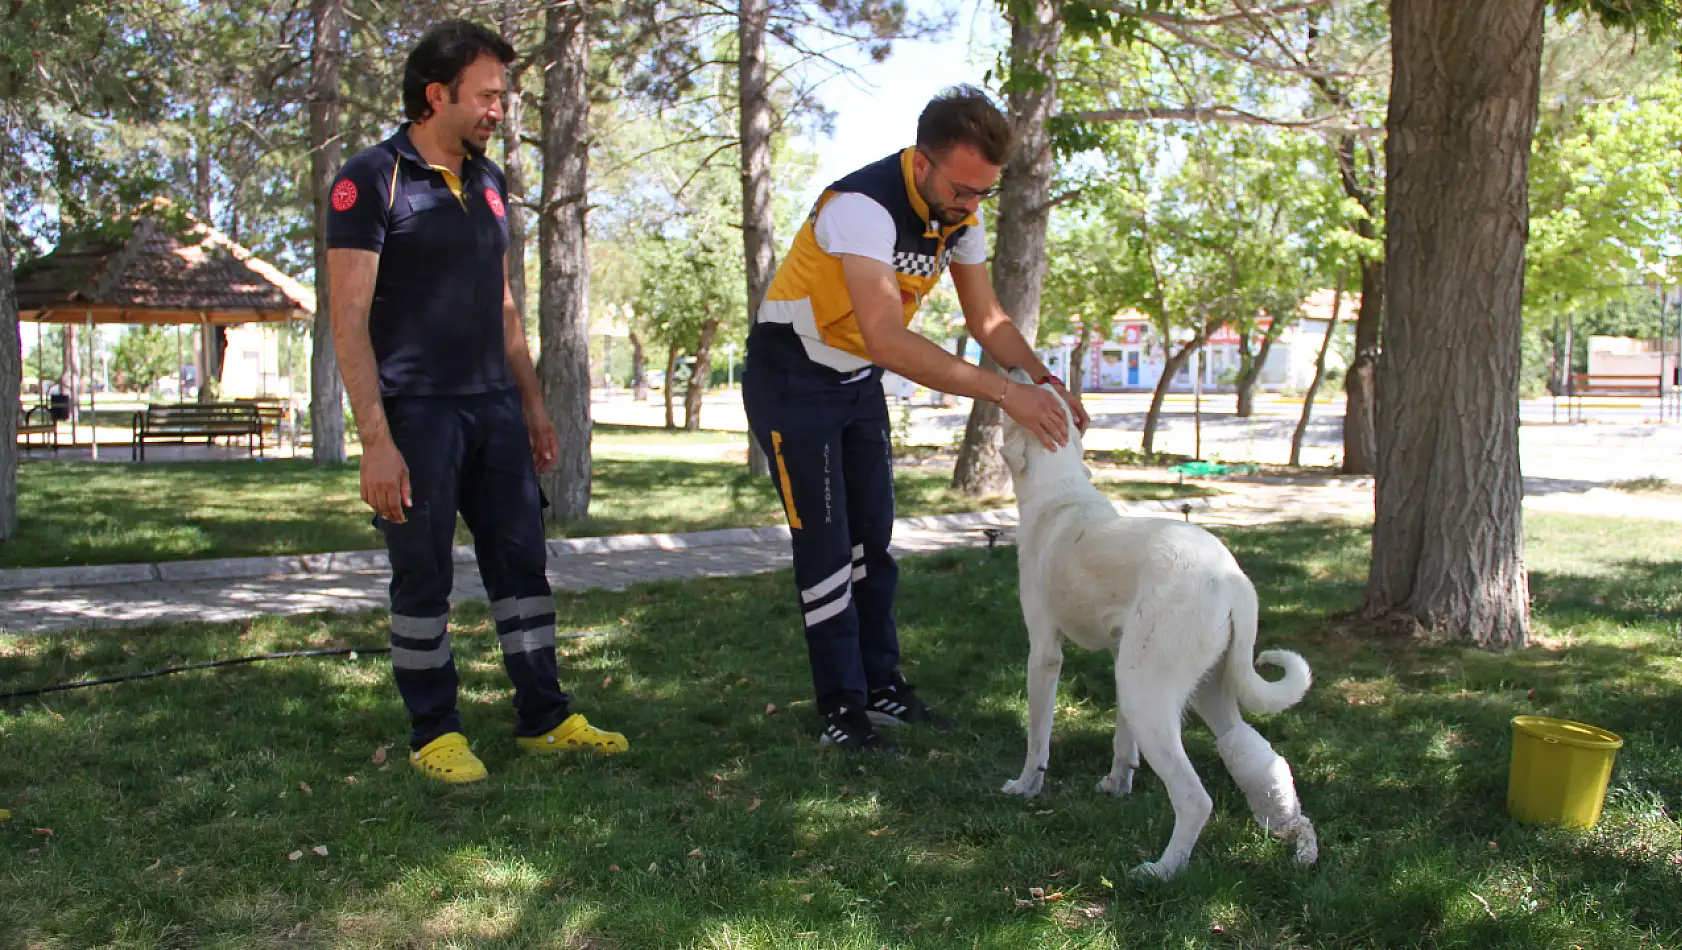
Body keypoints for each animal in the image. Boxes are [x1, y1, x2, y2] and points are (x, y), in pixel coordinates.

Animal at [995, 371, 1311, 881]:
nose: (1027, 373)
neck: (1059, 490)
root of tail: (1231, 576)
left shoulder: (1044, 652)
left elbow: (1037, 735)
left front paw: (1026, 786)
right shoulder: (1119, 651)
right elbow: (1123, 742)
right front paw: (1116, 785)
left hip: (1148, 690)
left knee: (1196, 798)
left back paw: (1162, 871)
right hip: (1198, 686)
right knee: (1257, 755)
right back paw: (1292, 835)